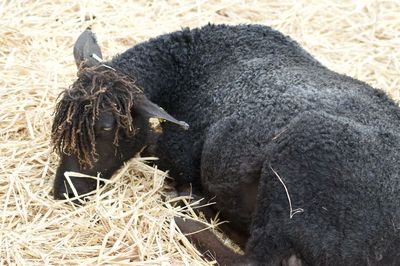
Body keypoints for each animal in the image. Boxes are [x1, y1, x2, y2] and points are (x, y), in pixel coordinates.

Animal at [52, 23, 400, 264]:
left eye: (106, 128)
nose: (63, 193)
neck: (188, 70)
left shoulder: (177, 151)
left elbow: (154, 148)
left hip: (298, 167)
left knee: (253, 261)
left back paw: (185, 216)